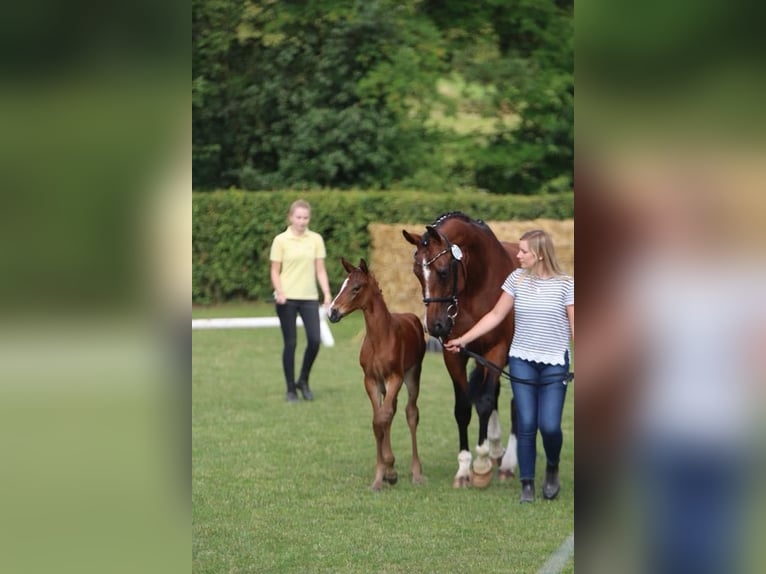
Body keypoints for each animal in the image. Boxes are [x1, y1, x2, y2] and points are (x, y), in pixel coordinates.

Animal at [328, 258, 428, 492]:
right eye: (342, 285)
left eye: (356, 288)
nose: (332, 313)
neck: (380, 337)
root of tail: (411, 317)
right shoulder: (371, 380)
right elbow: (377, 421)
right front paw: (381, 475)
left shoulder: (395, 377)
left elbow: (384, 416)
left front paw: (390, 470)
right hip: (385, 384)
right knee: (390, 412)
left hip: (413, 374)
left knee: (411, 413)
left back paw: (416, 473)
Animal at [402, 214, 520, 488]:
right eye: (416, 273)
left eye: (444, 272)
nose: (435, 326)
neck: (480, 285)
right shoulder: (455, 353)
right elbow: (464, 408)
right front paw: (465, 469)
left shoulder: (496, 351)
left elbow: (484, 403)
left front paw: (481, 465)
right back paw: (497, 449)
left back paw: (507, 463)